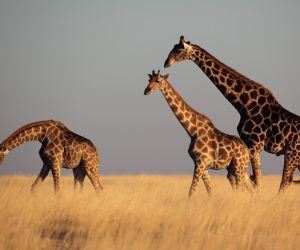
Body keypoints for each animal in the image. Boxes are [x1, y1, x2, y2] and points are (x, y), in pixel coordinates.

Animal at [164, 35, 300, 191]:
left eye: (179, 50)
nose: (166, 63)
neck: (243, 104)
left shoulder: (254, 144)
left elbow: (256, 179)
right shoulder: (251, 145)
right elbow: (249, 178)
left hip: (292, 154)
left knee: (284, 182)